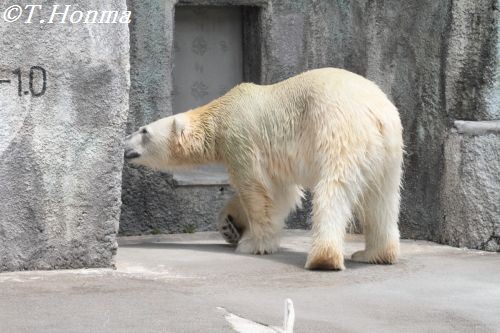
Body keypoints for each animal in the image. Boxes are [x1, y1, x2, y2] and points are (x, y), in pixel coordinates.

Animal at [124, 67, 402, 270]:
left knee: (335, 189)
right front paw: (229, 225)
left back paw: (323, 258)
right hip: (389, 151)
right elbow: (280, 193)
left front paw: (252, 244)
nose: (125, 143)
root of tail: (376, 113)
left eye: (143, 131)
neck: (220, 113)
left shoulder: (241, 138)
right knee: (382, 198)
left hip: (337, 129)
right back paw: (373, 254)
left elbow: (255, 188)